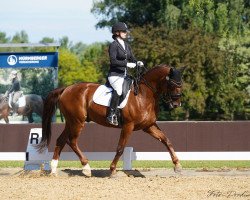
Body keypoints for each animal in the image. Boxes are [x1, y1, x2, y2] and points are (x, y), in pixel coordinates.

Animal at [38, 64, 185, 177]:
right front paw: (112, 169)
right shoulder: (128, 126)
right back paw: (86, 168)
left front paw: (177, 165)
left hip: (71, 122)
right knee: (72, 141)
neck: (144, 95)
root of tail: (66, 89)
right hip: (77, 122)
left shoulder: (148, 126)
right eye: (171, 83)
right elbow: (120, 148)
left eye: (181, 84)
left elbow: (166, 140)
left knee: (61, 140)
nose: (176, 104)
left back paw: (53, 170)